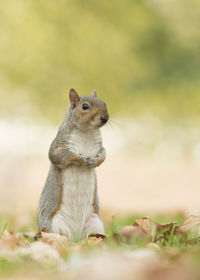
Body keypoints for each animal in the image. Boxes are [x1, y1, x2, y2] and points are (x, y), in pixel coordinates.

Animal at [38, 88, 108, 241]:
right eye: (85, 106)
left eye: (104, 103)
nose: (105, 118)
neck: (86, 131)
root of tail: (77, 236)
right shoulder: (60, 143)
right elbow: (57, 155)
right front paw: (81, 160)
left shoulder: (100, 146)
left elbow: (104, 154)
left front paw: (96, 161)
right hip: (56, 224)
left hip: (95, 222)